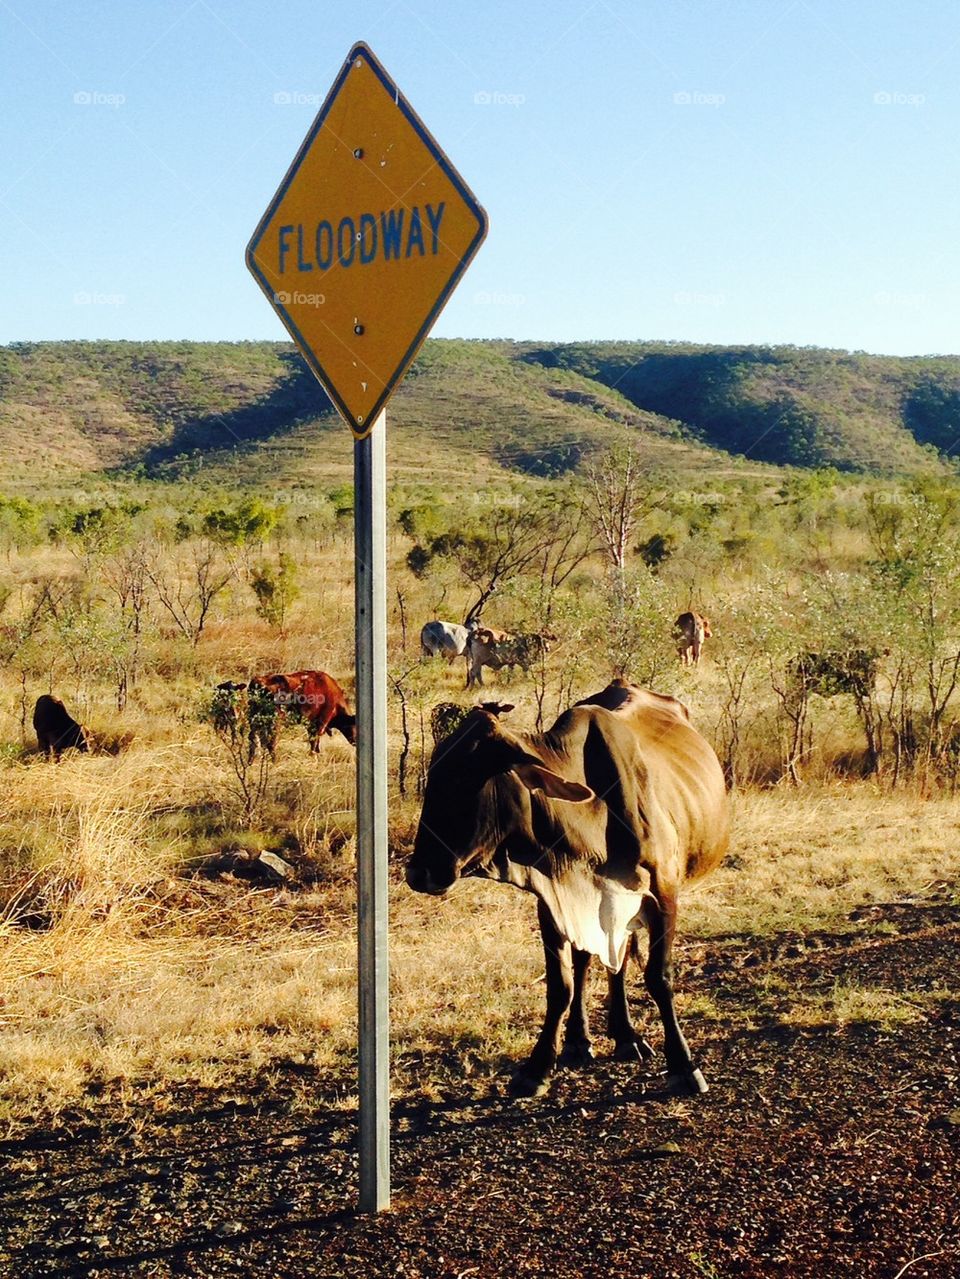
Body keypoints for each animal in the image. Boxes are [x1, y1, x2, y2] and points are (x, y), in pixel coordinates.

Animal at [407, 679, 730, 1099]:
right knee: (592, 961)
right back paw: (587, 1039)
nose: (419, 872)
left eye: (464, 780)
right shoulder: (552, 901)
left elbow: (659, 977)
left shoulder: (662, 896)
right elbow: (561, 984)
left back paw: (624, 1036)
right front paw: (538, 1066)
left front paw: (684, 1065)